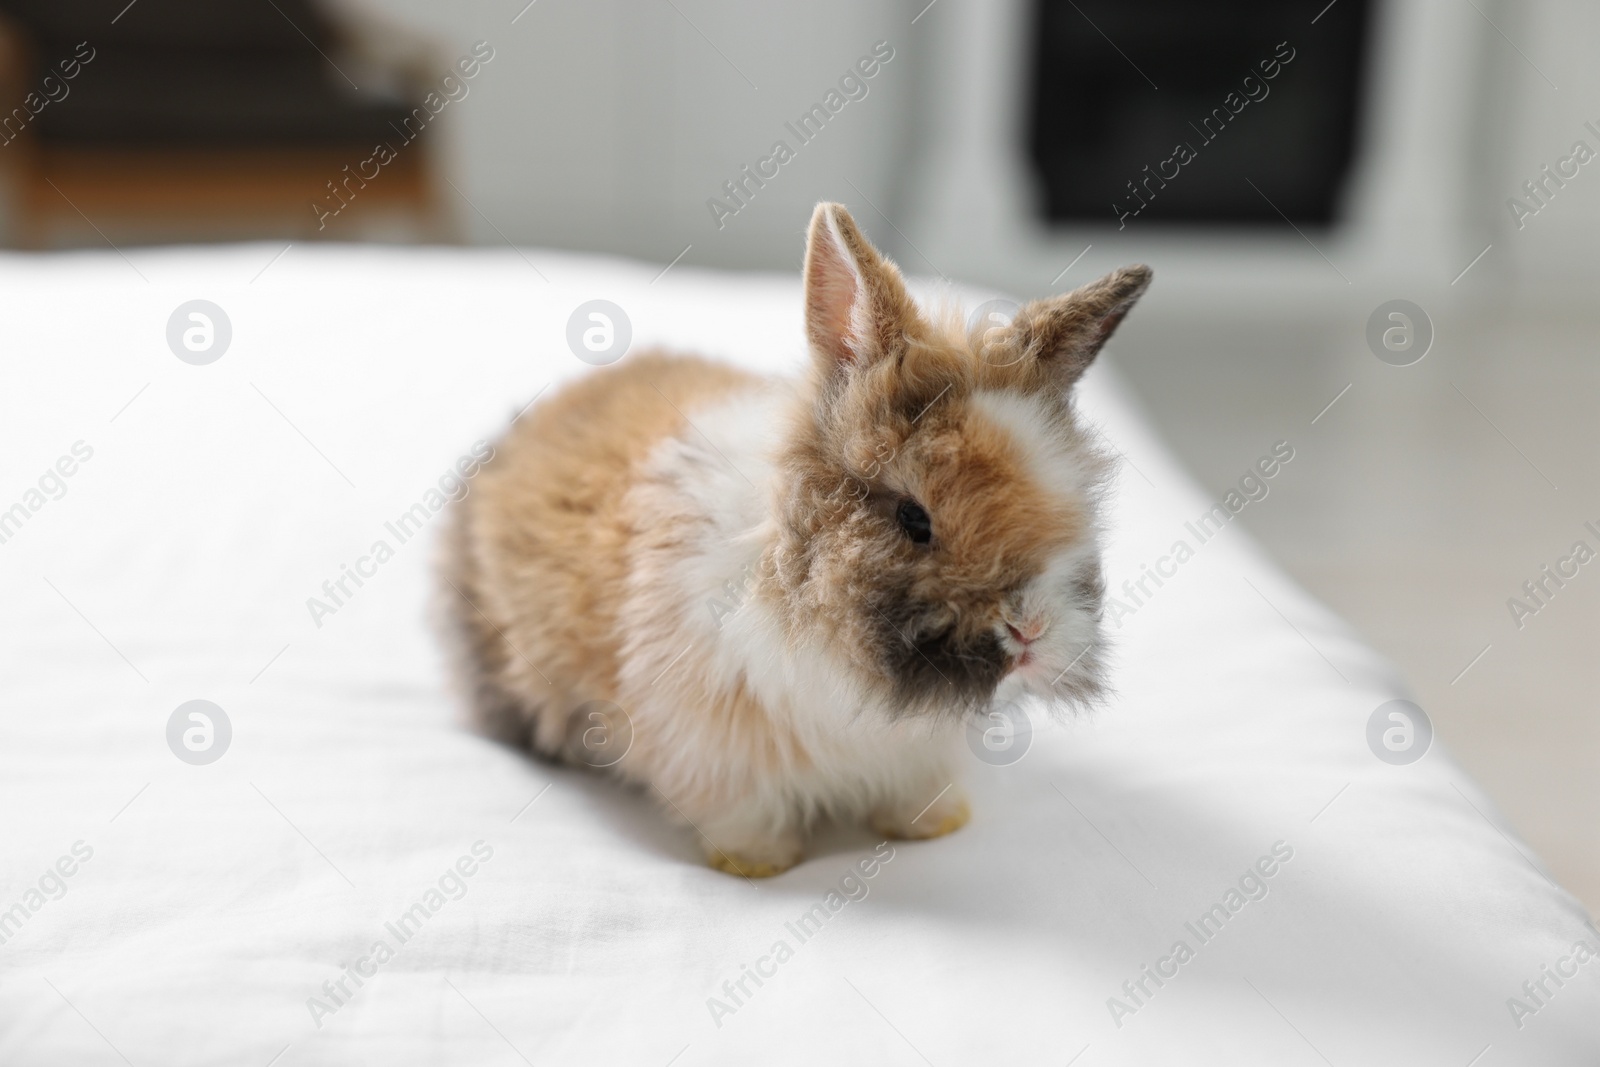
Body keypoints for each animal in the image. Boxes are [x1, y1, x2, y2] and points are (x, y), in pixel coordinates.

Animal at [441, 199, 1152, 876]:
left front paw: (933, 827)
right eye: (913, 518)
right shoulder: (714, 749)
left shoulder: (915, 756)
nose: (1030, 632)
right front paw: (758, 864)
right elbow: (744, 813)